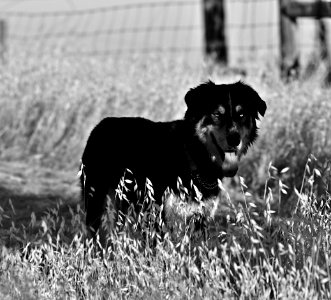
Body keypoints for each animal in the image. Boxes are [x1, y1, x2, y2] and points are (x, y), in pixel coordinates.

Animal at [80, 79, 268, 237]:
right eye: (217, 114)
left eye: (241, 115)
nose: (234, 139)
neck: (193, 156)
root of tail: (99, 126)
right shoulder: (159, 215)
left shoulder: (200, 217)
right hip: (99, 201)